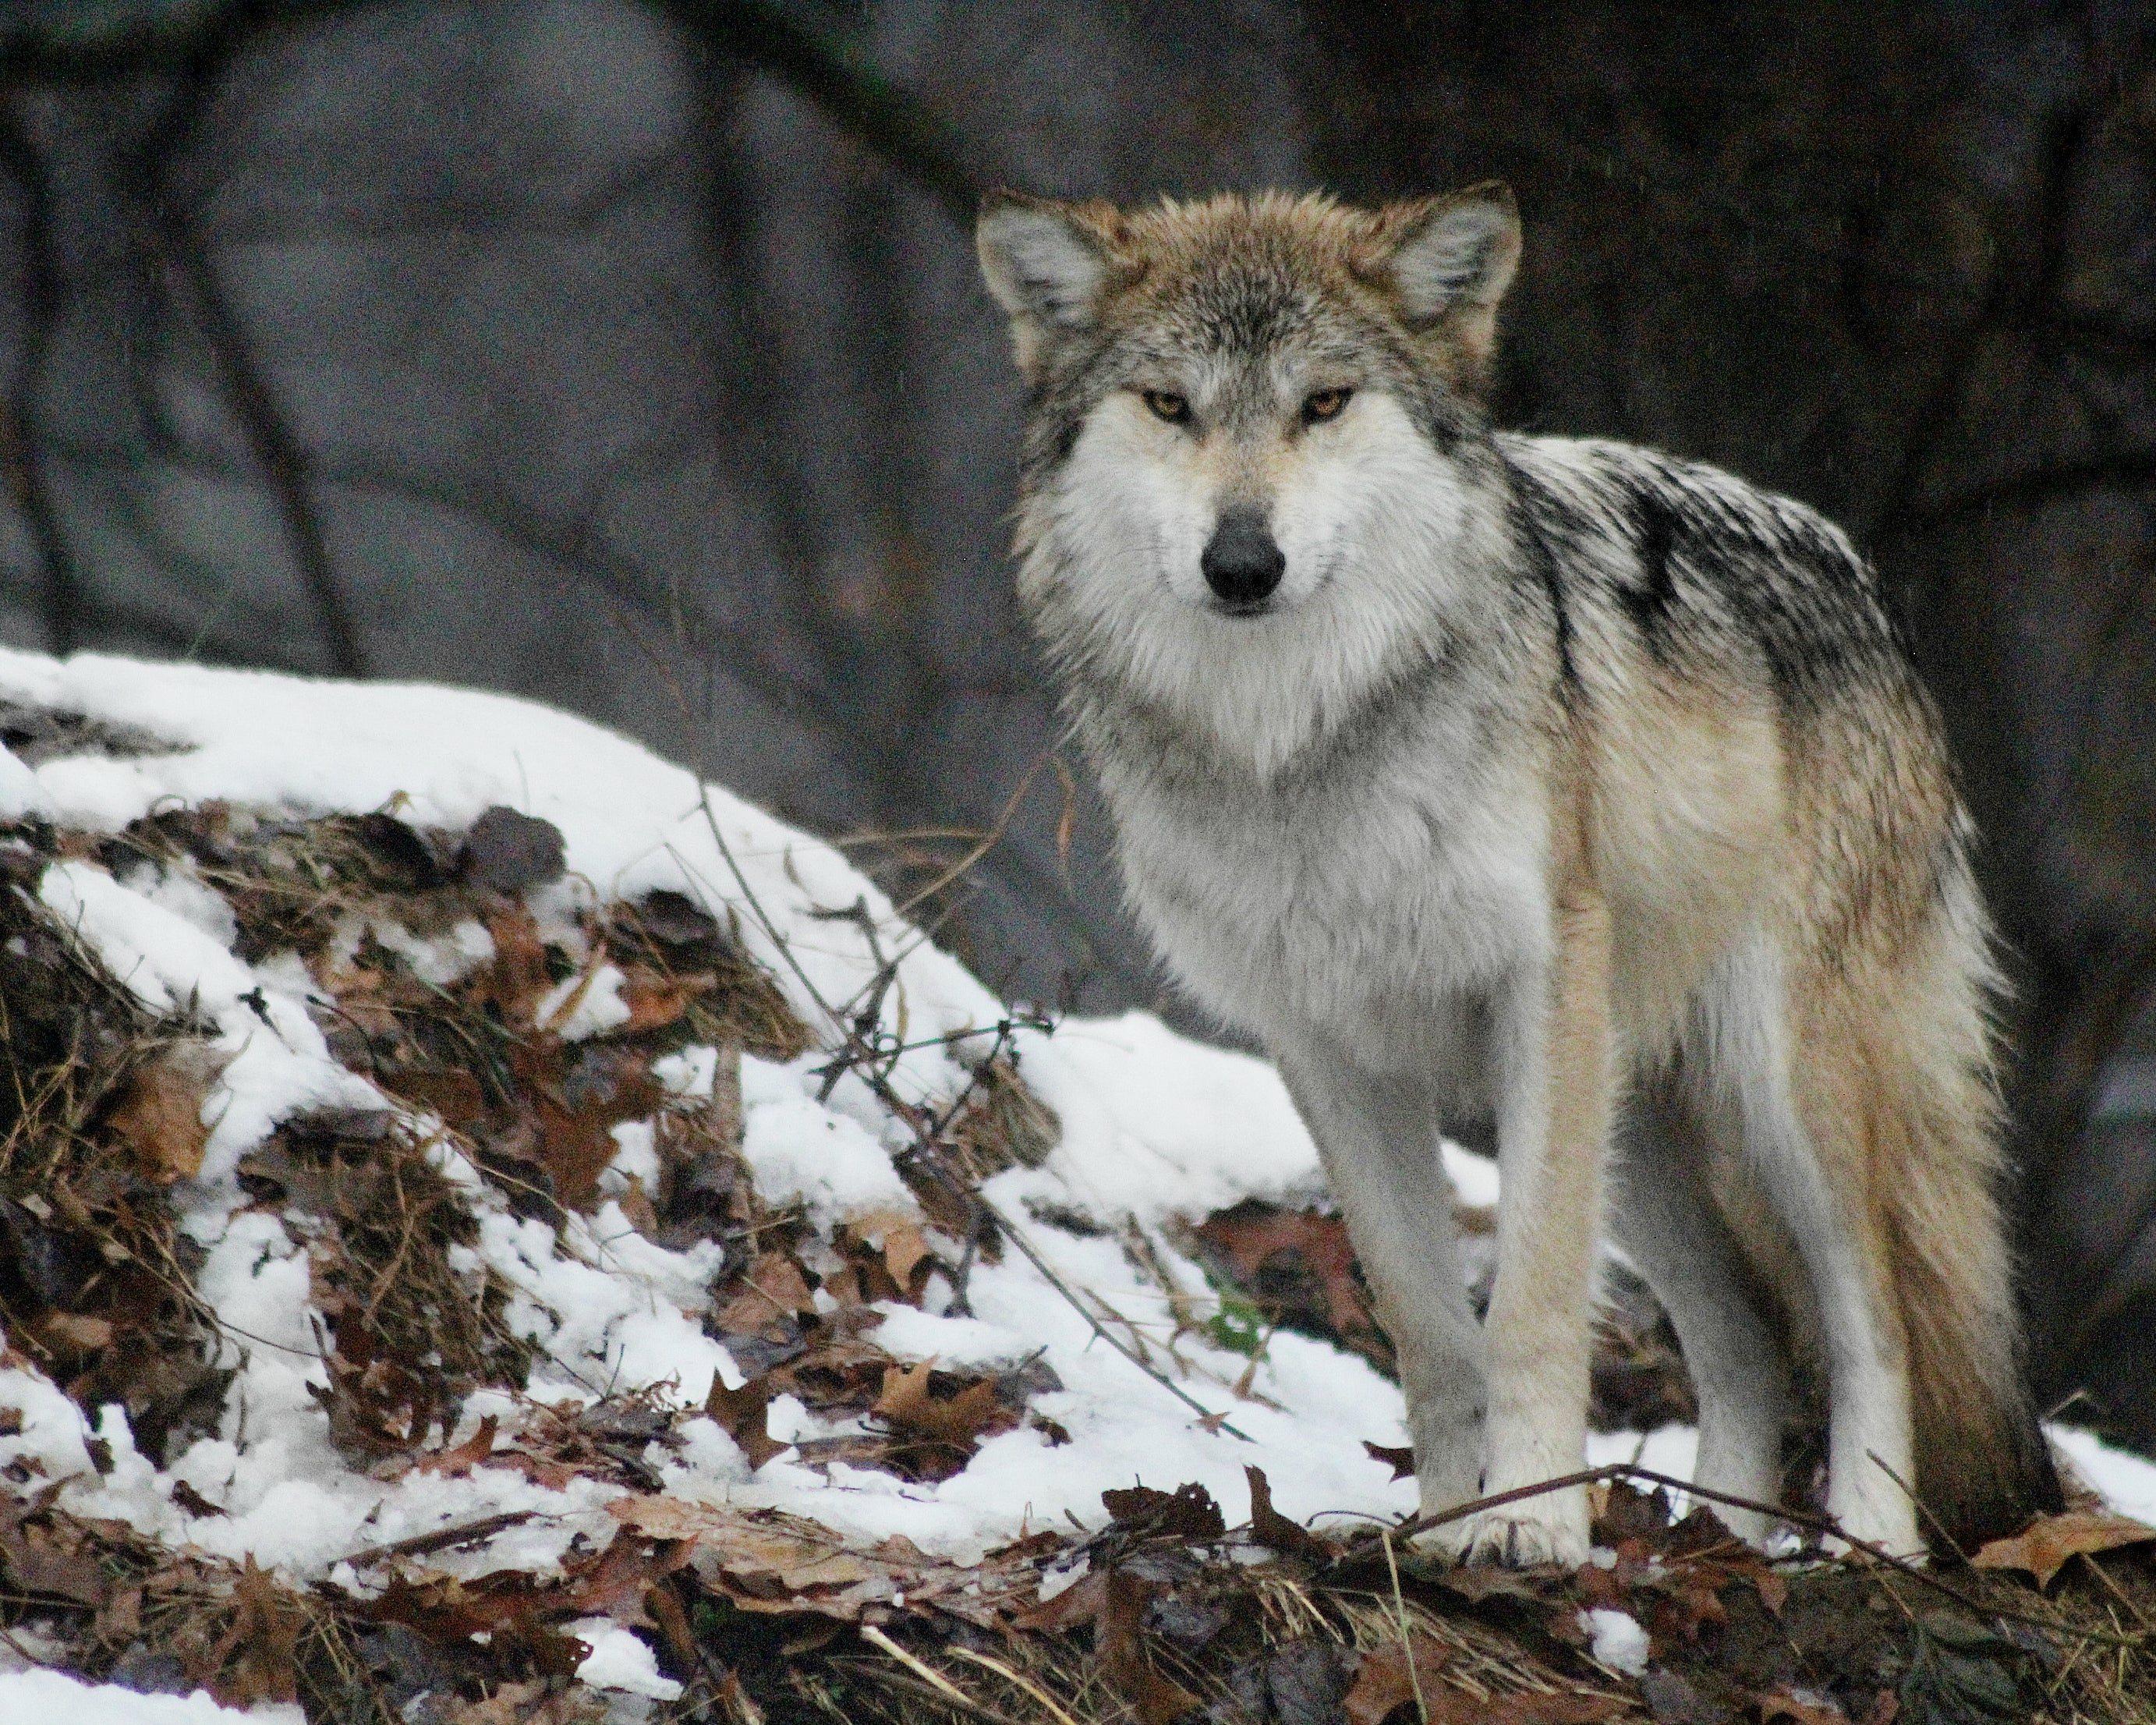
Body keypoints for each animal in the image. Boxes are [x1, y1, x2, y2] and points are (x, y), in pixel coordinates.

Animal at [982, 185, 2069, 1560]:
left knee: (1869, 1316)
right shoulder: (1324, 1048)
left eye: (1323, 403)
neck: (1297, 743)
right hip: (1638, 1120)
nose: (1242, 564)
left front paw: (1536, 1531)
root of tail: (1863, 581)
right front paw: (1451, 1532)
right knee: (1751, 1340)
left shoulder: (1538, 989)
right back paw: (1719, 1536)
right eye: (1170, 405)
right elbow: (1429, 1327)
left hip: (1776, 1087)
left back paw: (1866, 1544)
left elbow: (1536, 1302)